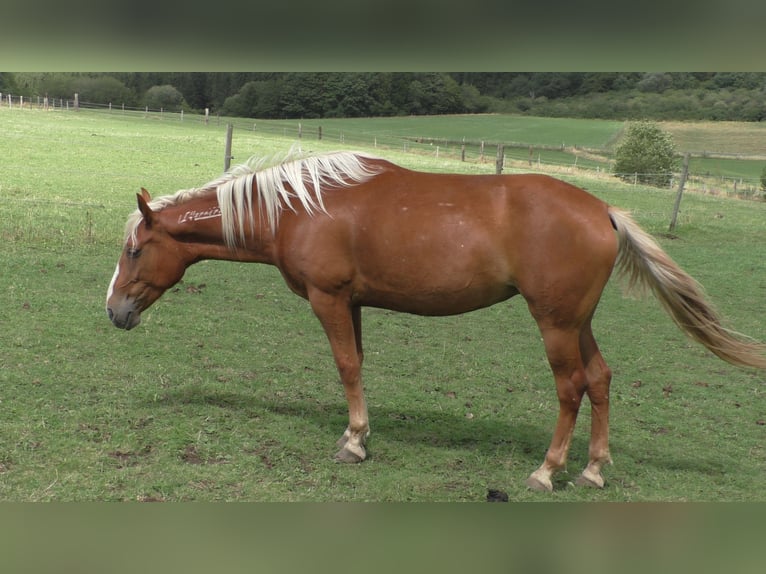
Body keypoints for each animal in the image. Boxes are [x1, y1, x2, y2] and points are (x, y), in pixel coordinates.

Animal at [106, 150, 766, 496]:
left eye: (135, 251)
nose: (114, 311)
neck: (300, 207)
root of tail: (602, 209)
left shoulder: (328, 299)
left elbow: (345, 366)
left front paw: (353, 442)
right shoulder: (353, 304)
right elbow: (358, 364)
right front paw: (359, 434)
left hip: (554, 323)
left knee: (572, 388)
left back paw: (548, 471)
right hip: (578, 321)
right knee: (601, 380)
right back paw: (594, 469)